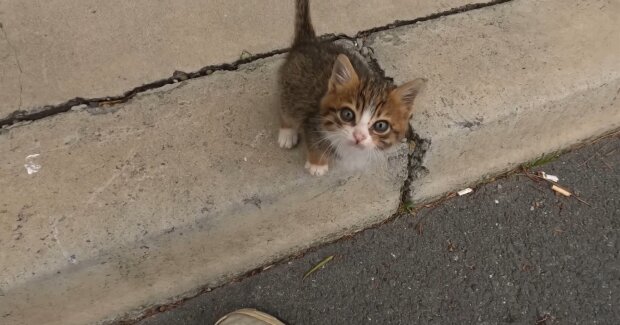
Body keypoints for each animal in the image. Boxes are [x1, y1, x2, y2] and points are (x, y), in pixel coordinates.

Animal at [278, 0, 426, 176]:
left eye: (381, 126)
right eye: (347, 114)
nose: (359, 136)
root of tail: (309, 42)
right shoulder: (312, 123)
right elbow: (315, 144)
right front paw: (317, 164)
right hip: (291, 87)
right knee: (286, 108)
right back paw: (287, 133)